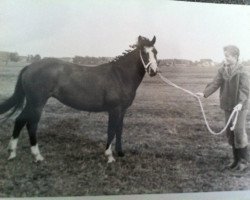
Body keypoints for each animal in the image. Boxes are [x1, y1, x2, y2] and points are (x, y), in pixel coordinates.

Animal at [0, 35, 158, 162]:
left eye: (155, 52)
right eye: (144, 53)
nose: (153, 71)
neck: (119, 75)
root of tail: (29, 67)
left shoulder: (122, 110)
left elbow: (119, 130)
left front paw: (120, 153)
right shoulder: (114, 110)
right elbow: (111, 130)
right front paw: (109, 156)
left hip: (32, 102)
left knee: (19, 121)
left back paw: (12, 153)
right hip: (37, 103)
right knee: (31, 124)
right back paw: (37, 156)